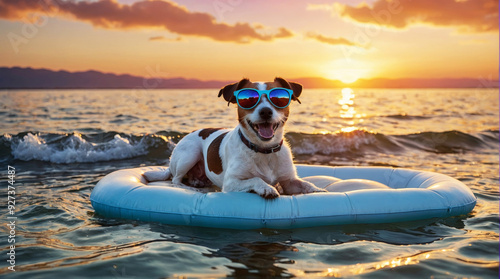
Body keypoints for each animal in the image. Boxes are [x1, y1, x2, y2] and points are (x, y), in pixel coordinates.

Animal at [143, 76, 326, 199]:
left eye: (279, 99)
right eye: (248, 99)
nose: (266, 112)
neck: (263, 150)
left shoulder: (289, 181)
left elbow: (305, 184)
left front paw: (319, 189)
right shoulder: (231, 182)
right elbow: (255, 179)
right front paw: (266, 188)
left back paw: (197, 182)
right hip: (189, 153)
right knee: (175, 180)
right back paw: (193, 188)